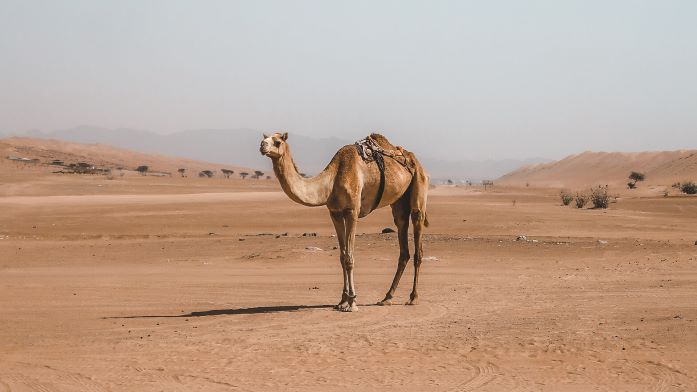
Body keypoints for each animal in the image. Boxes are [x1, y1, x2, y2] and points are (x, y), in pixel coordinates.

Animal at [258, 132, 426, 312]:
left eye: (277, 141)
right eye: (265, 138)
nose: (262, 145)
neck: (331, 182)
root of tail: (412, 158)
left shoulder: (352, 211)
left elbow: (349, 258)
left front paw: (352, 302)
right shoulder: (335, 213)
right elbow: (342, 256)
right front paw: (342, 301)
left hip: (419, 187)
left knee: (417, 241)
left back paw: (413, 297)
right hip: (399, 203)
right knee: (403, 242)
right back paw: (387, 297)